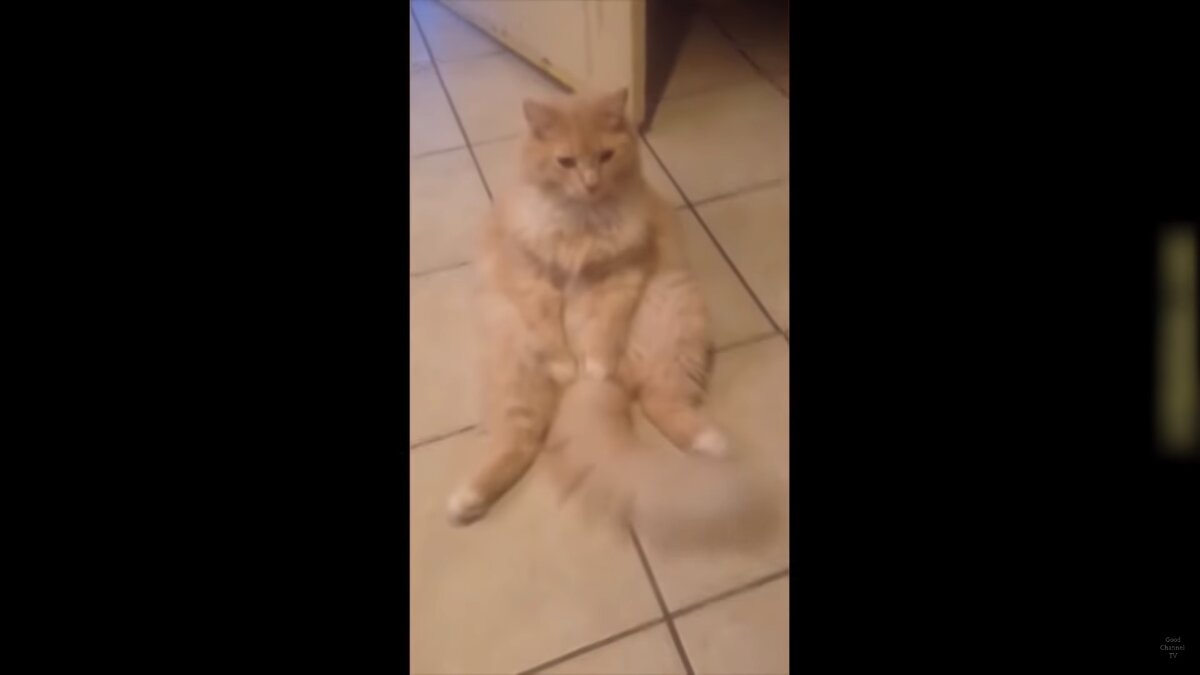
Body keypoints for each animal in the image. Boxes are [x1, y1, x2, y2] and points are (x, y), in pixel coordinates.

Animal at [446, 88, 741, 530]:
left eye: (605, 156)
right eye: (565, 162)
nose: (590, 184)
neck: (581, 222)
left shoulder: (622, 278)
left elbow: (603, 332)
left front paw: (594, 367)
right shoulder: (533, 282)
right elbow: (551, 331)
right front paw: (568, 366)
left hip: (673, 316)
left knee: (658, 402)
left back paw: (712, 442)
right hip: (515, 368)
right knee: (522, 441)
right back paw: (466, 500)